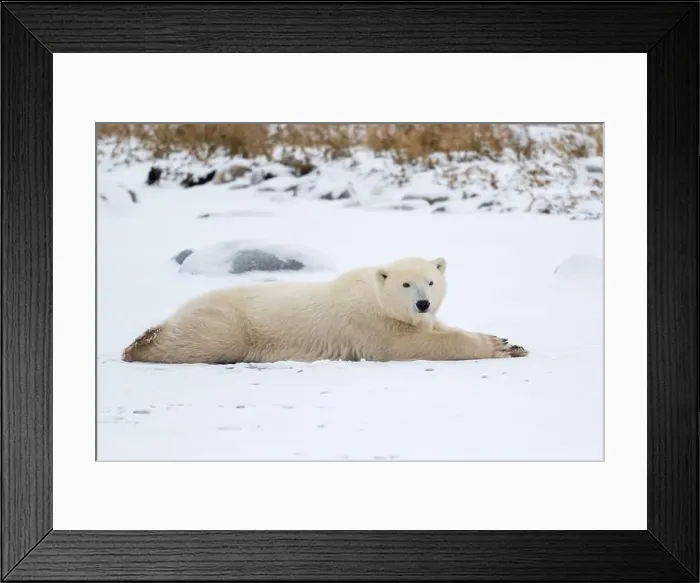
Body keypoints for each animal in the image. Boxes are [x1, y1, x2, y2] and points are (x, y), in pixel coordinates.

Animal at [121, 256, 528, 364]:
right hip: (229, 323)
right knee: (197, 339)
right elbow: (412, 345)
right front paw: (493, 346)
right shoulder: (371, 326)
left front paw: (511, 343)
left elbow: (436, 329)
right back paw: (141, 344)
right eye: (405, 284)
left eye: (430, 281)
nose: (422, 303)